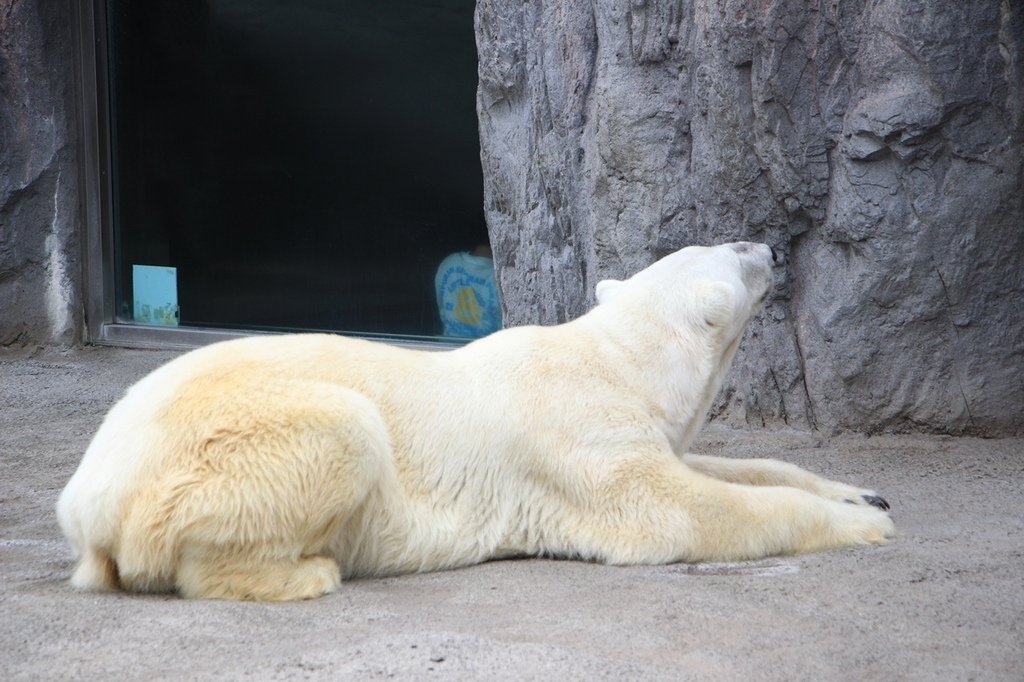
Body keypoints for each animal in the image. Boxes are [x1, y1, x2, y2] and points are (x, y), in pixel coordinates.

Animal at [56, 241, 892, 598]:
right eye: (739, 255)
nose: (772, 245)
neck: (620, 360)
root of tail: (85, 498)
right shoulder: (582, 441)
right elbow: (685, 510)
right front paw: (867, 524)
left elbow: (724, 463)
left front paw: (862, 491)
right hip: (212, 455)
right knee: (343, 434)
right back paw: (305, 573)